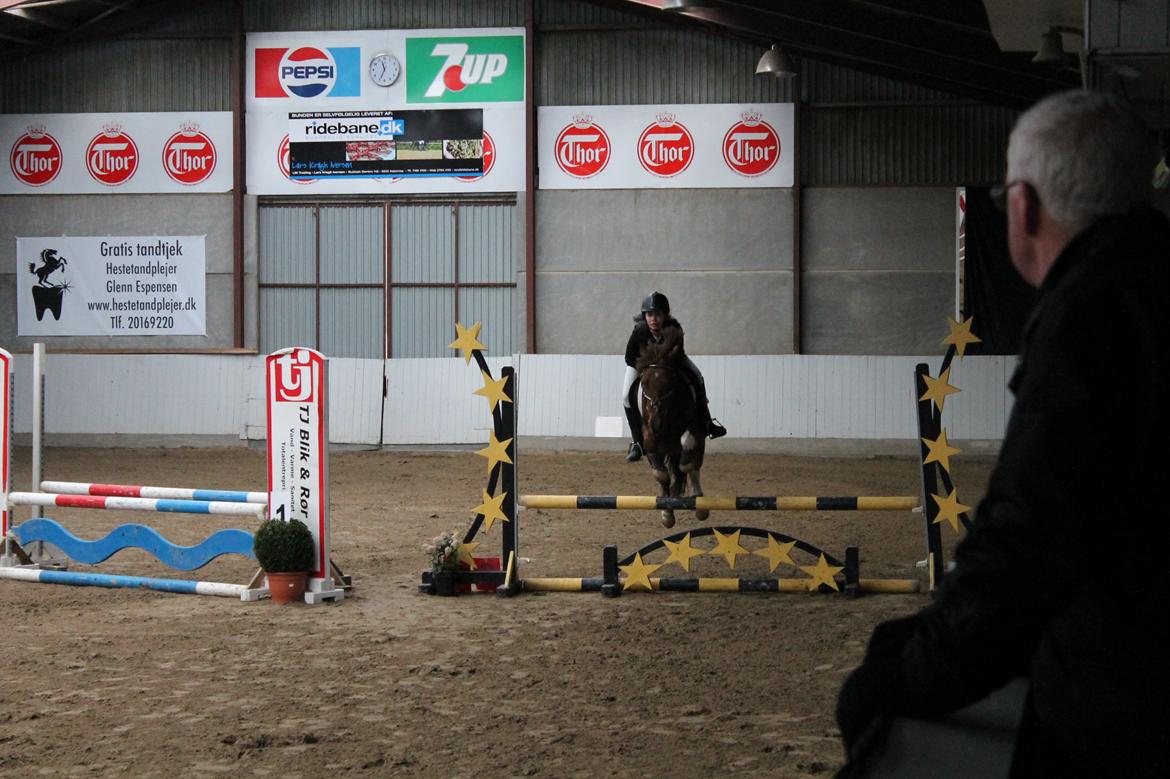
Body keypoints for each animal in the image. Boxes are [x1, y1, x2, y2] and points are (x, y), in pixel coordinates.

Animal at [636, 327, 706, 528]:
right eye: (643, 382)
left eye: (670, 382)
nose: (657, 424)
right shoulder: (648, 433)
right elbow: (662, 475)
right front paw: (667, 513)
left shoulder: (692, 427)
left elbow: (686, 463)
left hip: (699, 439)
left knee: (694, 466)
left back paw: (700, 505)